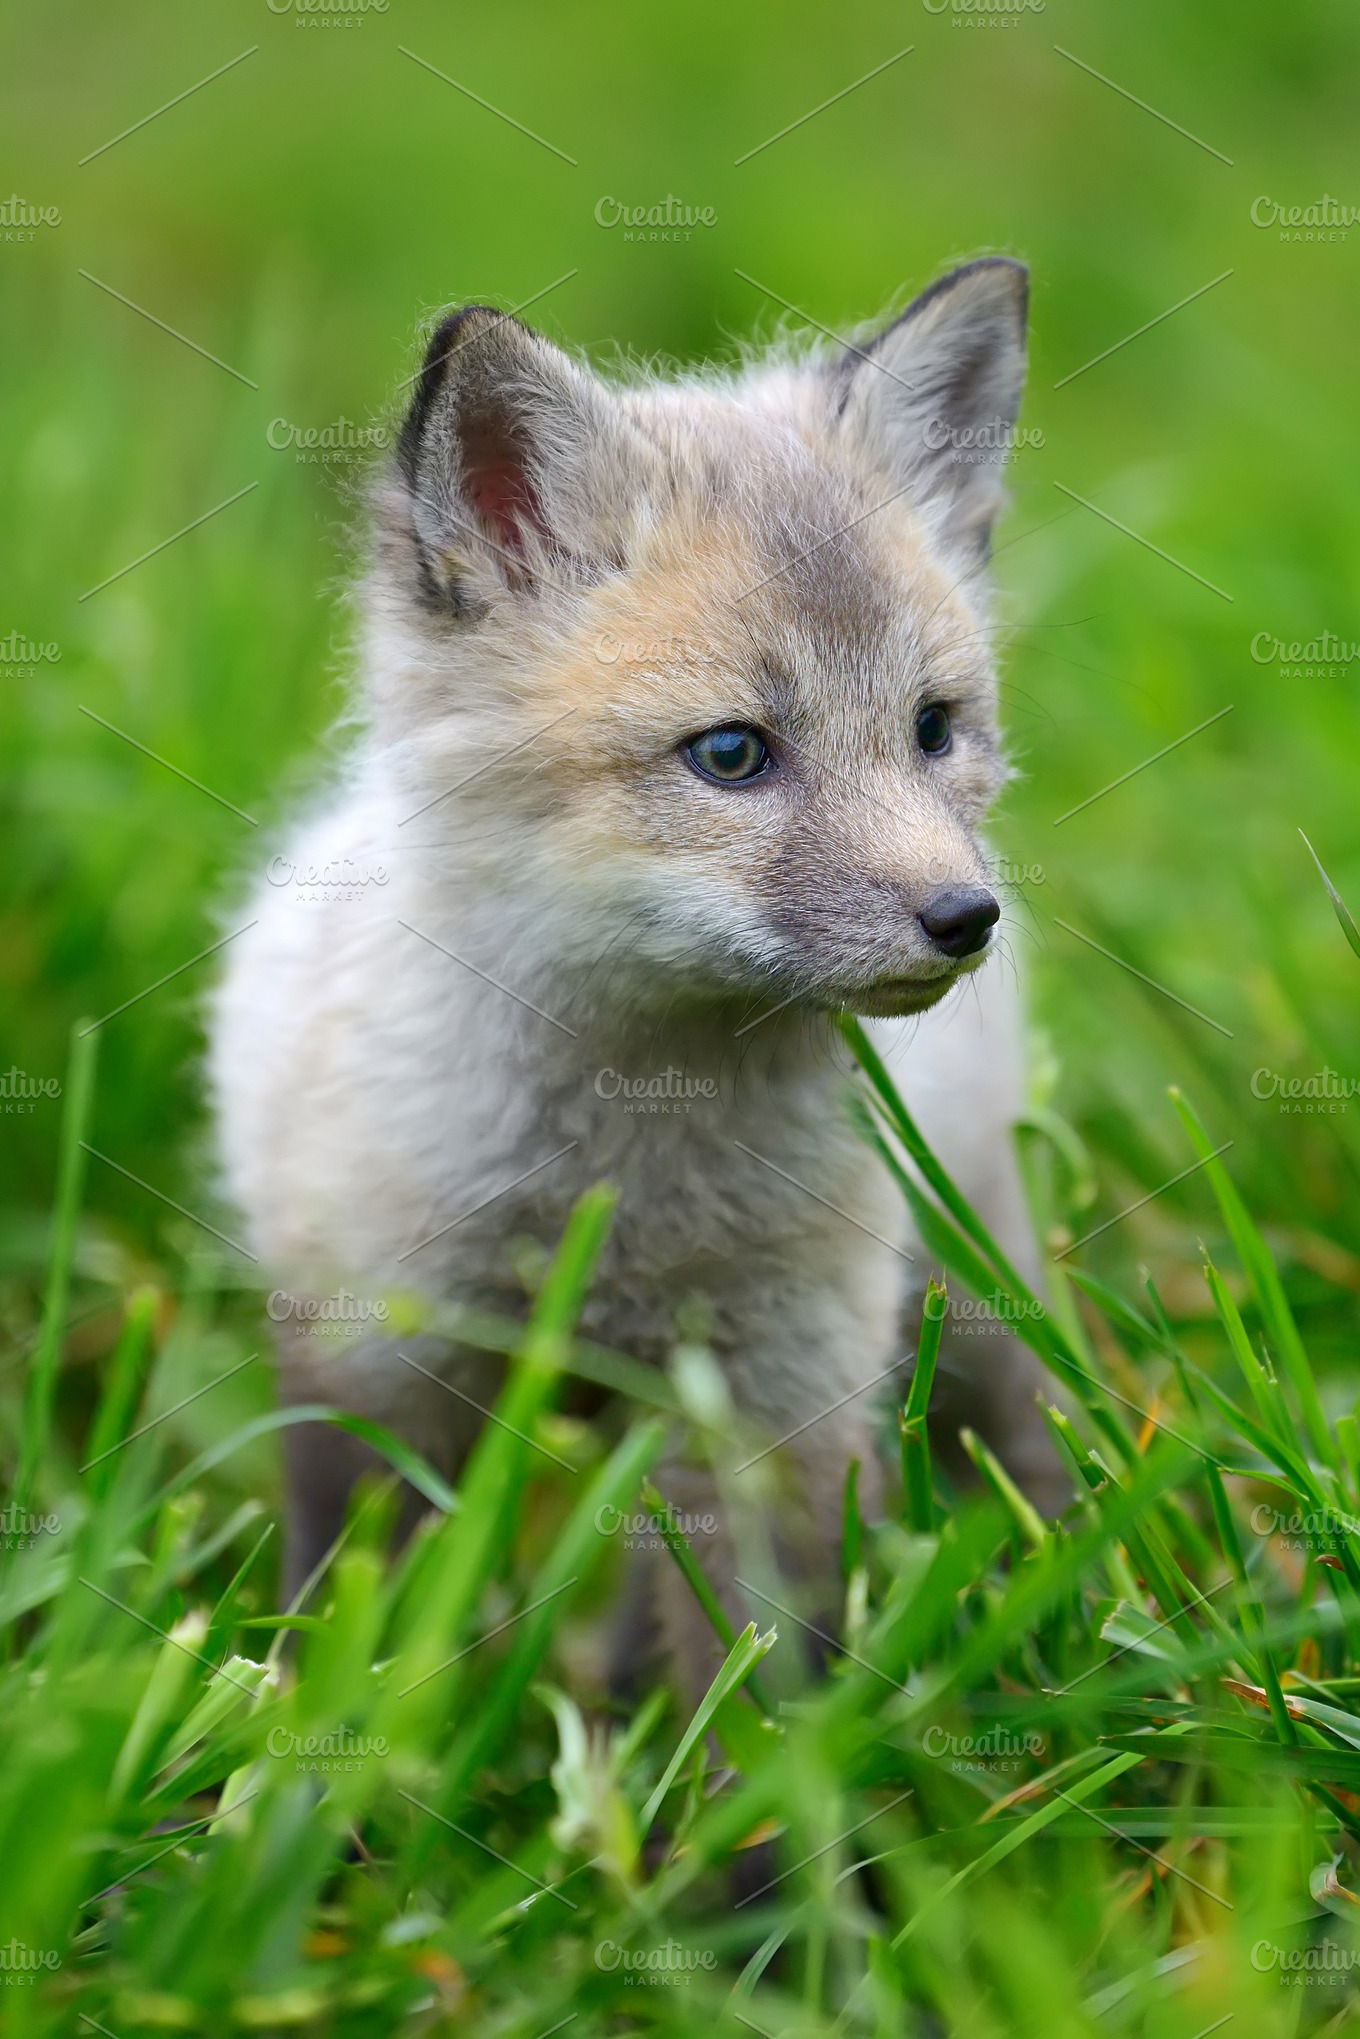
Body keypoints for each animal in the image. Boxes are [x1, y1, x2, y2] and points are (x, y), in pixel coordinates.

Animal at [210, 258, 1060, 1671]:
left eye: (934, 728)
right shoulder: (374, 1346)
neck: (625, 1178)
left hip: (970, 1265)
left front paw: (748, 1747)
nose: (964, 916)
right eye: (731, 754)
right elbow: (347, 1596)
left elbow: (757, 1662)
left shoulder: (779, 1392)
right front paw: (304, 1716)